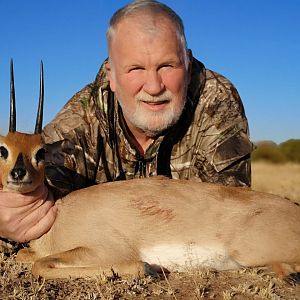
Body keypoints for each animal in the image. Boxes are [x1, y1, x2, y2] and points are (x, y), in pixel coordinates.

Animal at [1, 61, 300, 284]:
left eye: (40, 152)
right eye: (3, 149)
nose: (18, 174)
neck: (57, 216)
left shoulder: (105, 249)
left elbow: (40, 265)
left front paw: (146, 269)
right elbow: (26, 257)